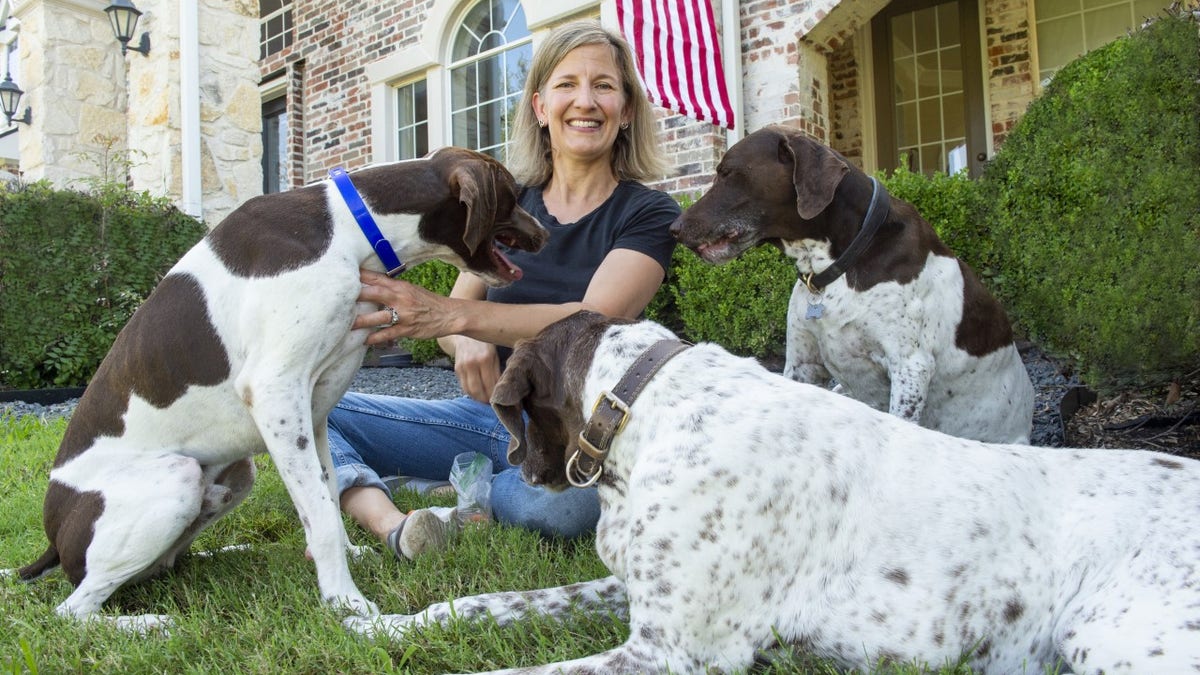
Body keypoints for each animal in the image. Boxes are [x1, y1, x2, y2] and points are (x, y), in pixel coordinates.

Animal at [5, 147, 544, 629]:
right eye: (512, 194)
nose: (545, 231)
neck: (349, 230)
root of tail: (53, 540)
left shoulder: (316, 407)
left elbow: (327, 498)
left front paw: (346, 560)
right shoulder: (276, 393)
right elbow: (321, 514)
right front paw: (344, 601)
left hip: (235, 475)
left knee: (164, 564)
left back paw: (226, 551)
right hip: (177, 477)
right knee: (73, 610)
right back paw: (149, 623)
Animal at [343, 309, 1195, 672]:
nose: (518, 468)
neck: (647, 408)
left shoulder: (675, 651)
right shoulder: (632, 595)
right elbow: (478, 604)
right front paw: (381, 625)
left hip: (1110, 638)